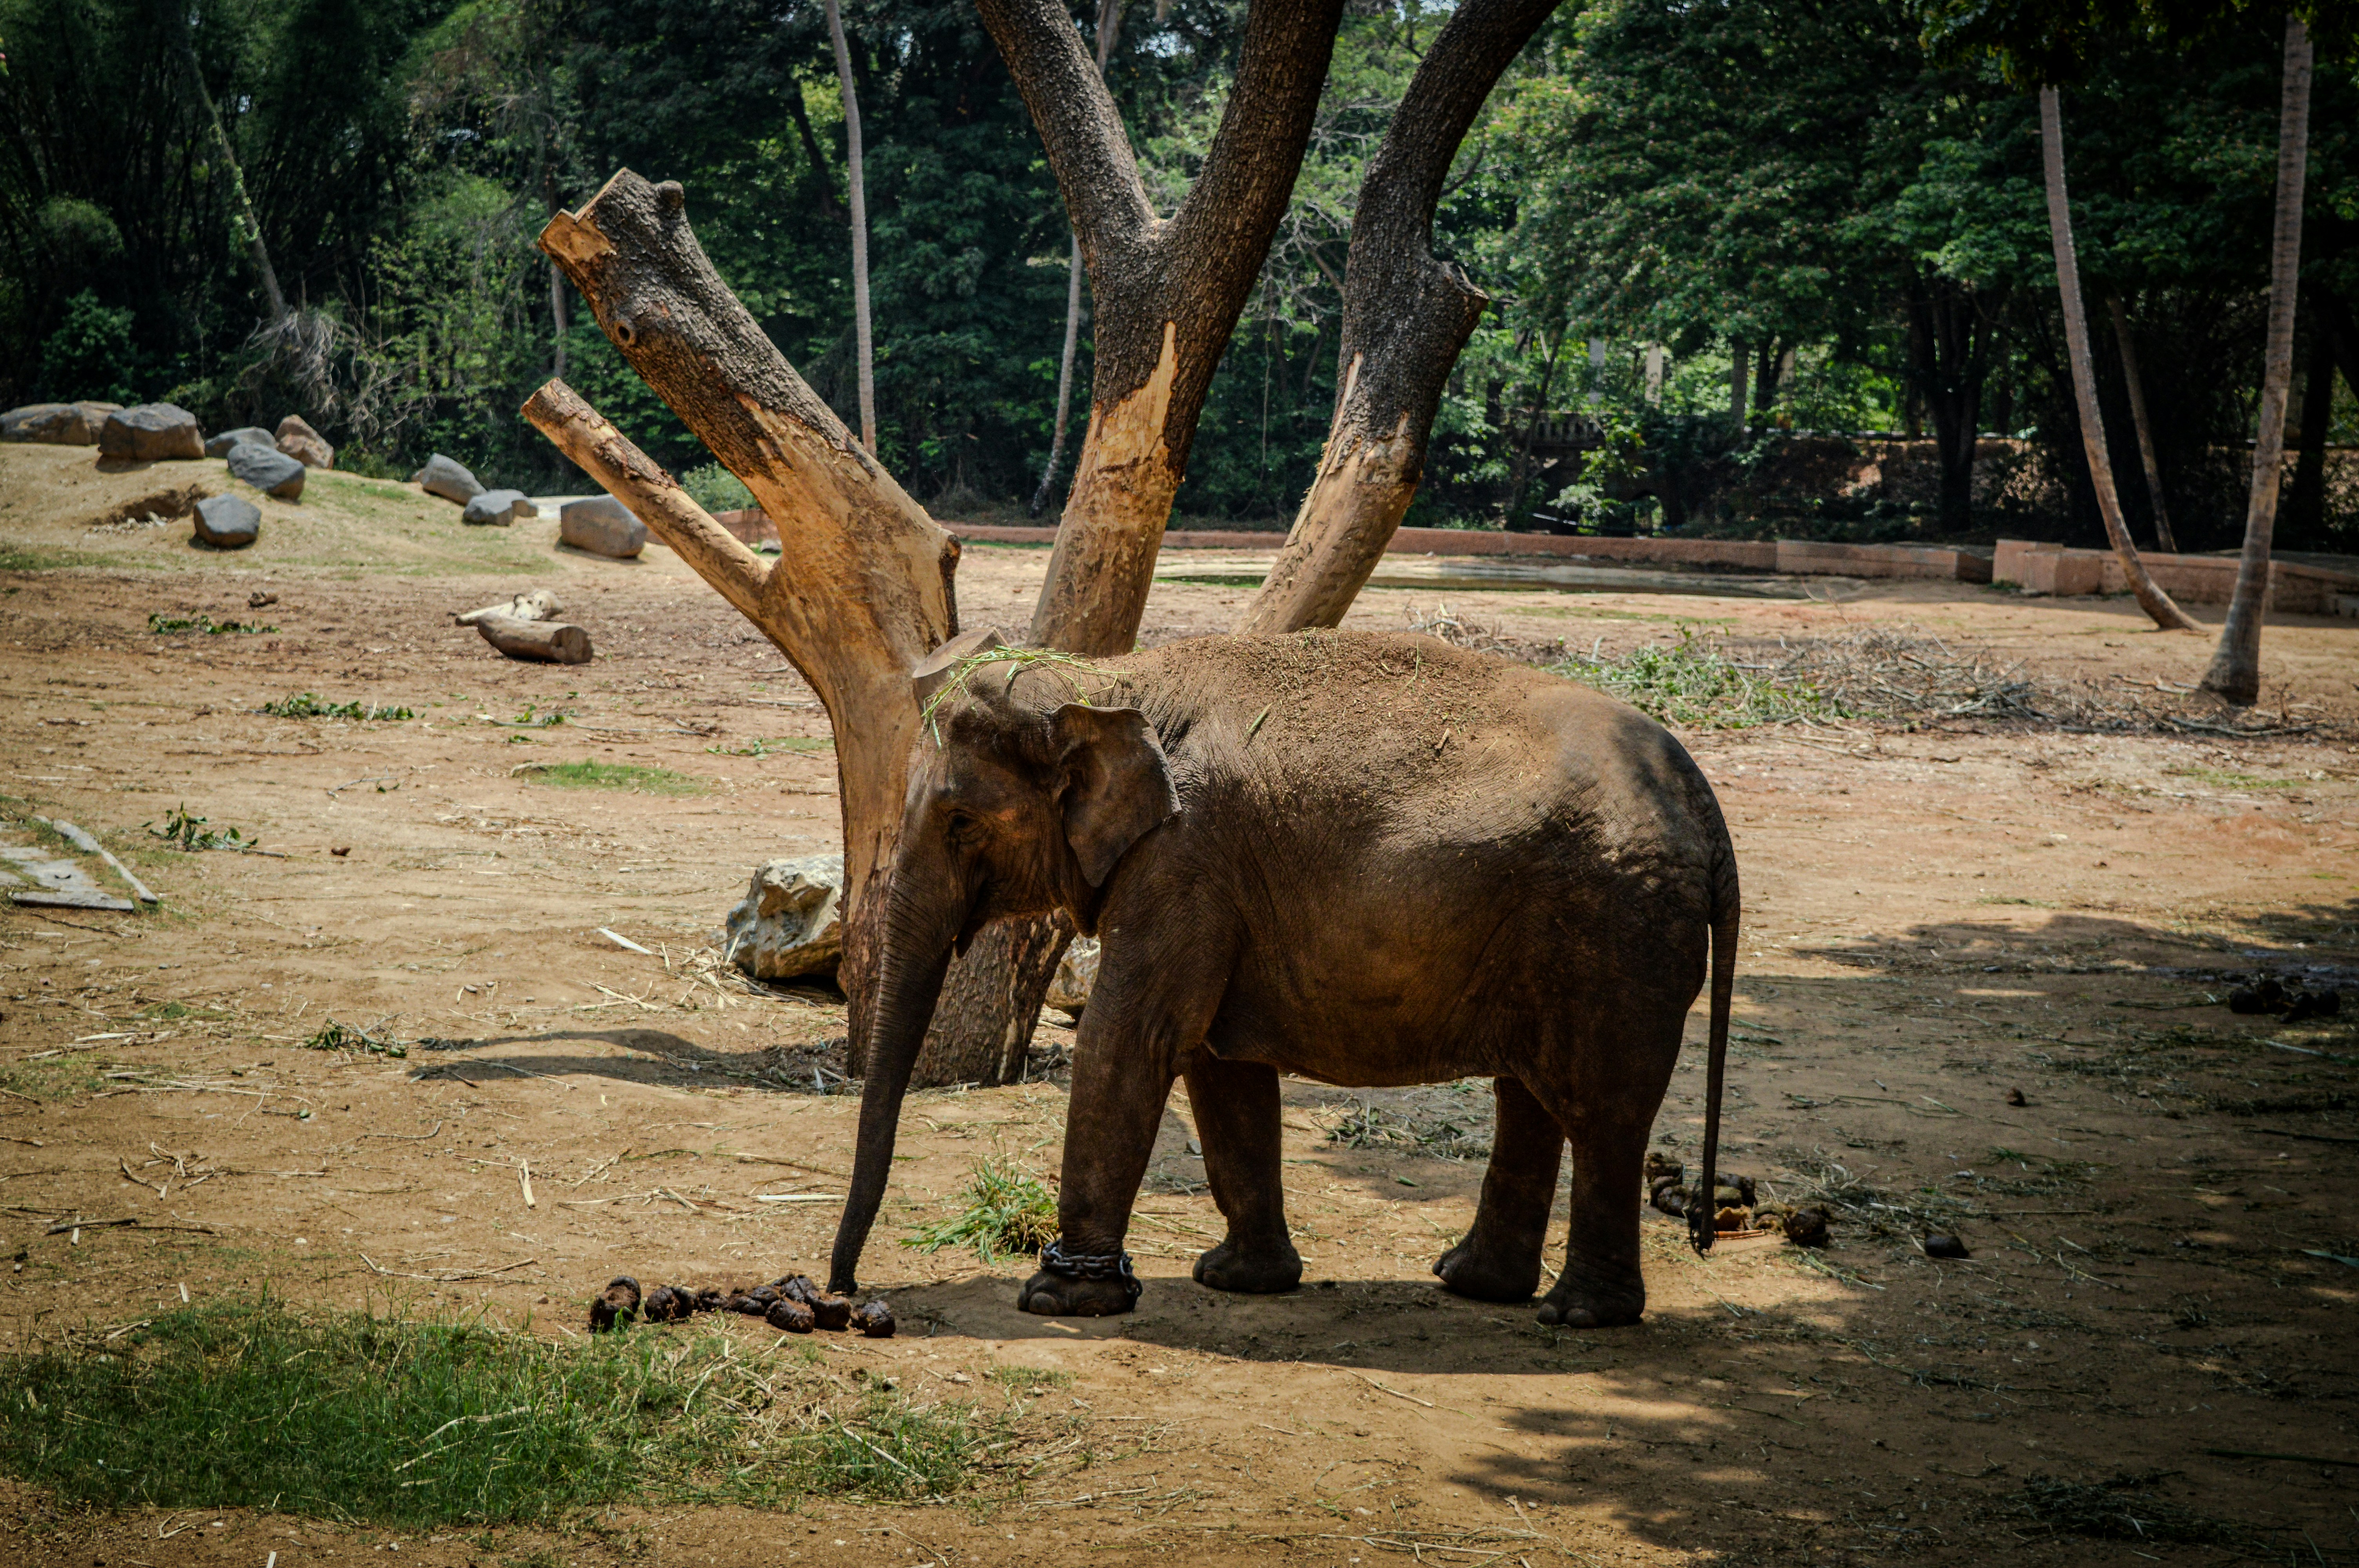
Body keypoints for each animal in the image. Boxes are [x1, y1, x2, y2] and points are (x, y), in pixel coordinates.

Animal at [826, 626, 1738, 1328]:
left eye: (959, 821)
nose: (843, 1294)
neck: (1112, 680)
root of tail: (1704, 804)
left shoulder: (1184, 860)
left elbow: (1134, 1038)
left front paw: (1059, 1299)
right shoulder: (1213, 888)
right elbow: (1216, 1064)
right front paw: (1234, 1279)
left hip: (1615, 930)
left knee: (1602, 1112)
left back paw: (1579, 1313)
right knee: (1532, 1096)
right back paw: (1472, 1284)